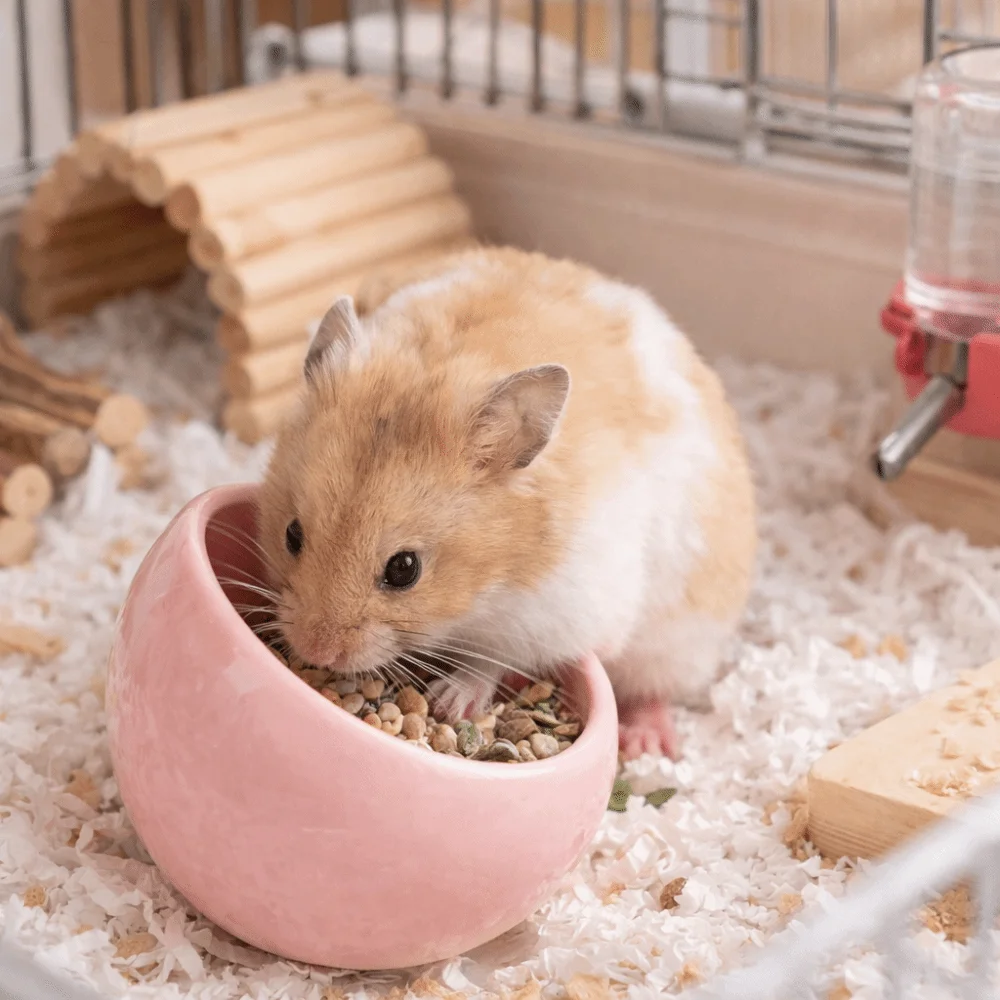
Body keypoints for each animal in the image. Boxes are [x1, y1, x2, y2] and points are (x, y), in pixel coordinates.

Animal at [258, 247, 756, 760]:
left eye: (405, 569)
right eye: (292, 535)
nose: (314, 651)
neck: (490, 585)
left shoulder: (566, 611)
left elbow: (500, 657)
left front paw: (451, 702)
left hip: (675, 643)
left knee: (651, 689)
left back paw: (646, 744)